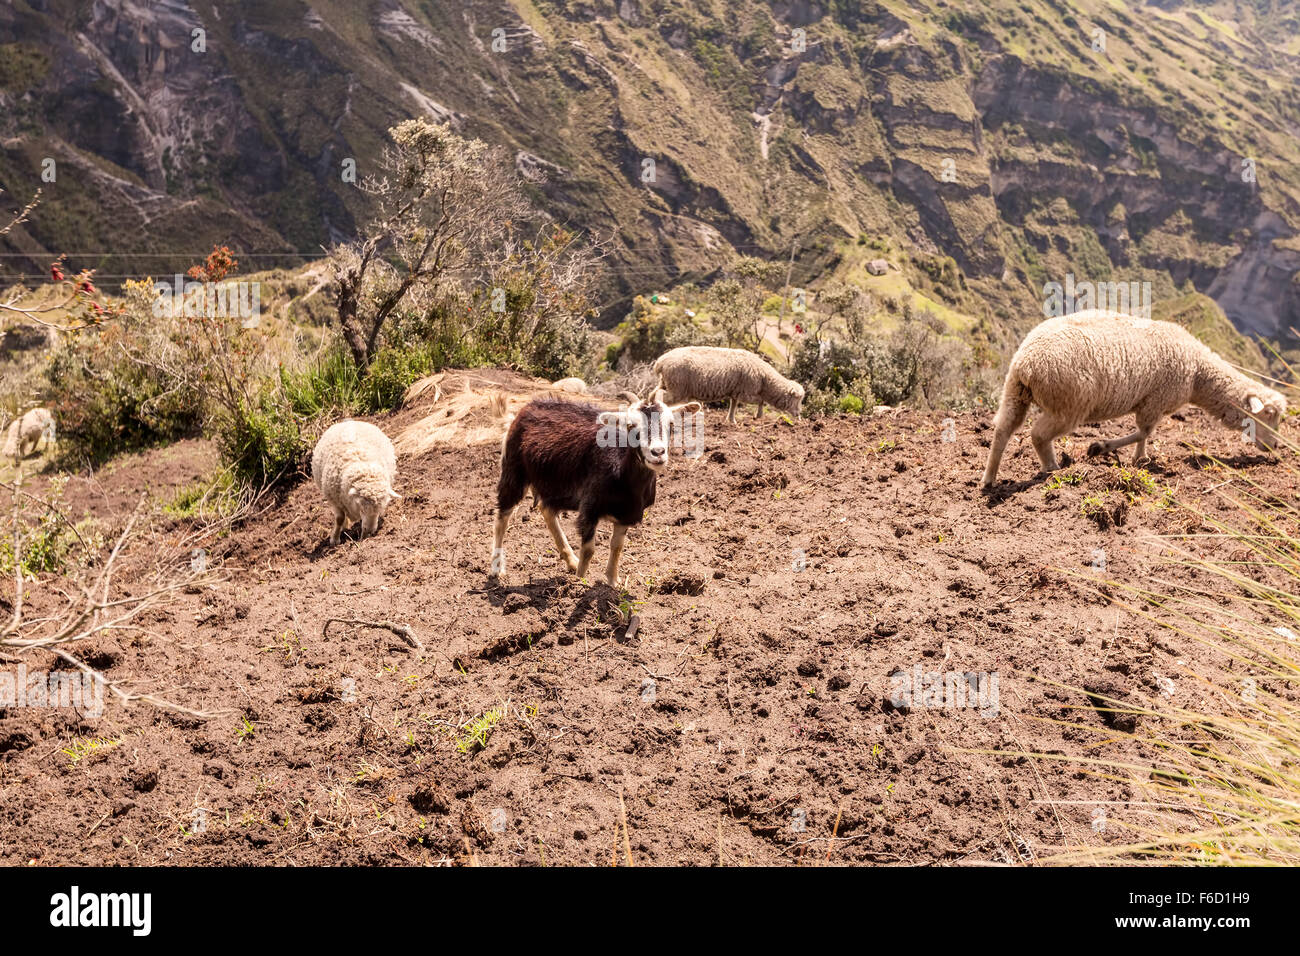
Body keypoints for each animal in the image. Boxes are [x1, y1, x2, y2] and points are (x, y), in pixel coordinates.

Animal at [488, 390, 702, 587]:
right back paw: (497, 569)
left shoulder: (626, 514)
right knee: (502, 517)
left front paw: (612, 583)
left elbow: (617, 546)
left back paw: (571, 561)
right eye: (630, 426)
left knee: (546, 509)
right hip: (514, 470)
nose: (657, 453)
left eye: (671, 425)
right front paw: (578, 583)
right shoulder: (590, 508)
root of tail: (525, 409)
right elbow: (589, 550)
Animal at [650, 343, 800, 421]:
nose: (799, 414)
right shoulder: (746, 393)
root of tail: (661, 362)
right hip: (678, 388)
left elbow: (733, 405)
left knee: (652, 394)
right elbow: (761, 401)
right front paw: (758, 415)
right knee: (661, 396)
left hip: (667, 383)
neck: (765, 380)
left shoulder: (736, 392)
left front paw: (731, 420)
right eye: (797, 399)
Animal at [977, 310, 1284, 489]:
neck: (1198, 372)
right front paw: (1102, 448)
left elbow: (1144, 434)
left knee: (1003, 429)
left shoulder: (1152, 402)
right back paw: (1052, 468)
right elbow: (1143, 432)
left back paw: (988, 479)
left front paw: (1140, 459)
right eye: (1268, 415)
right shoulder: (1155, 400)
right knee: (1038, 434)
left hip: (1015, 392)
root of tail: (1027, 362)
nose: (1275, 447)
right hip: (1070, 403)